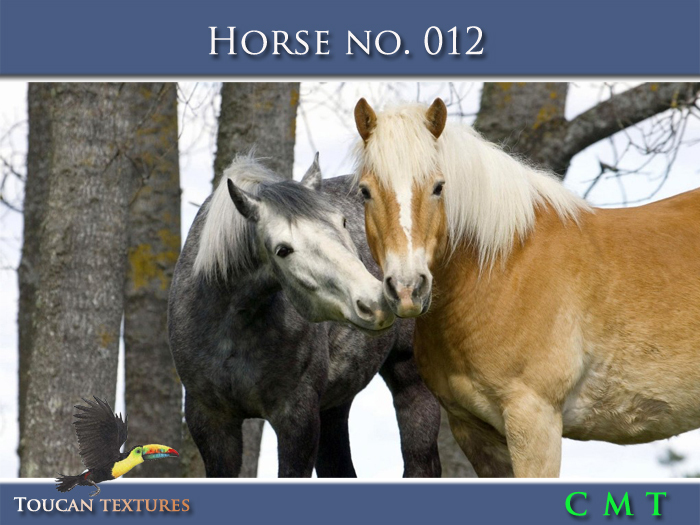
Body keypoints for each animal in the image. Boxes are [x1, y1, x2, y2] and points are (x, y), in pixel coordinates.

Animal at [168, 154, 441, 478]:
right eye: (283, 250)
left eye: (343, 222)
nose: (376, 303)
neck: (232, 326)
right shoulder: (211, 421)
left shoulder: (297, 419)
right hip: (335, 405)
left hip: (411, 382)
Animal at [351, 97, 700, 478]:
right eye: (366, 191)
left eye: (438, 187)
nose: (407, 288)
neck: (503, 267)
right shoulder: (474, 432)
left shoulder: (534, 420)